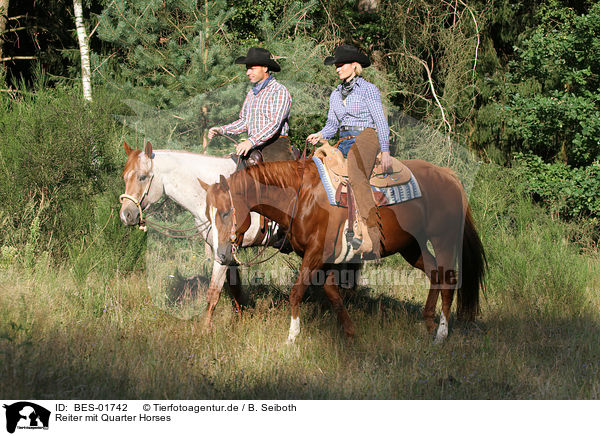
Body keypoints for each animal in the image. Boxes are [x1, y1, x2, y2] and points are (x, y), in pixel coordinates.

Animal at [202, 159, 488, 344]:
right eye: (208, 213)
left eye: (226, 212)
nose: (222, 255)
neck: (302, 196)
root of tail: (449, 176)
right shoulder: (325, 259)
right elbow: (334, 295)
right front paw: (350, 333)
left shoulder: (315, 254)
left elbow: (296, 293)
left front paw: (292, 337)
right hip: (412, 247)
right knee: (434, 275)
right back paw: (428, 323)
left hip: (443, 239)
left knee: (448, 279)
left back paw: (441, 334)